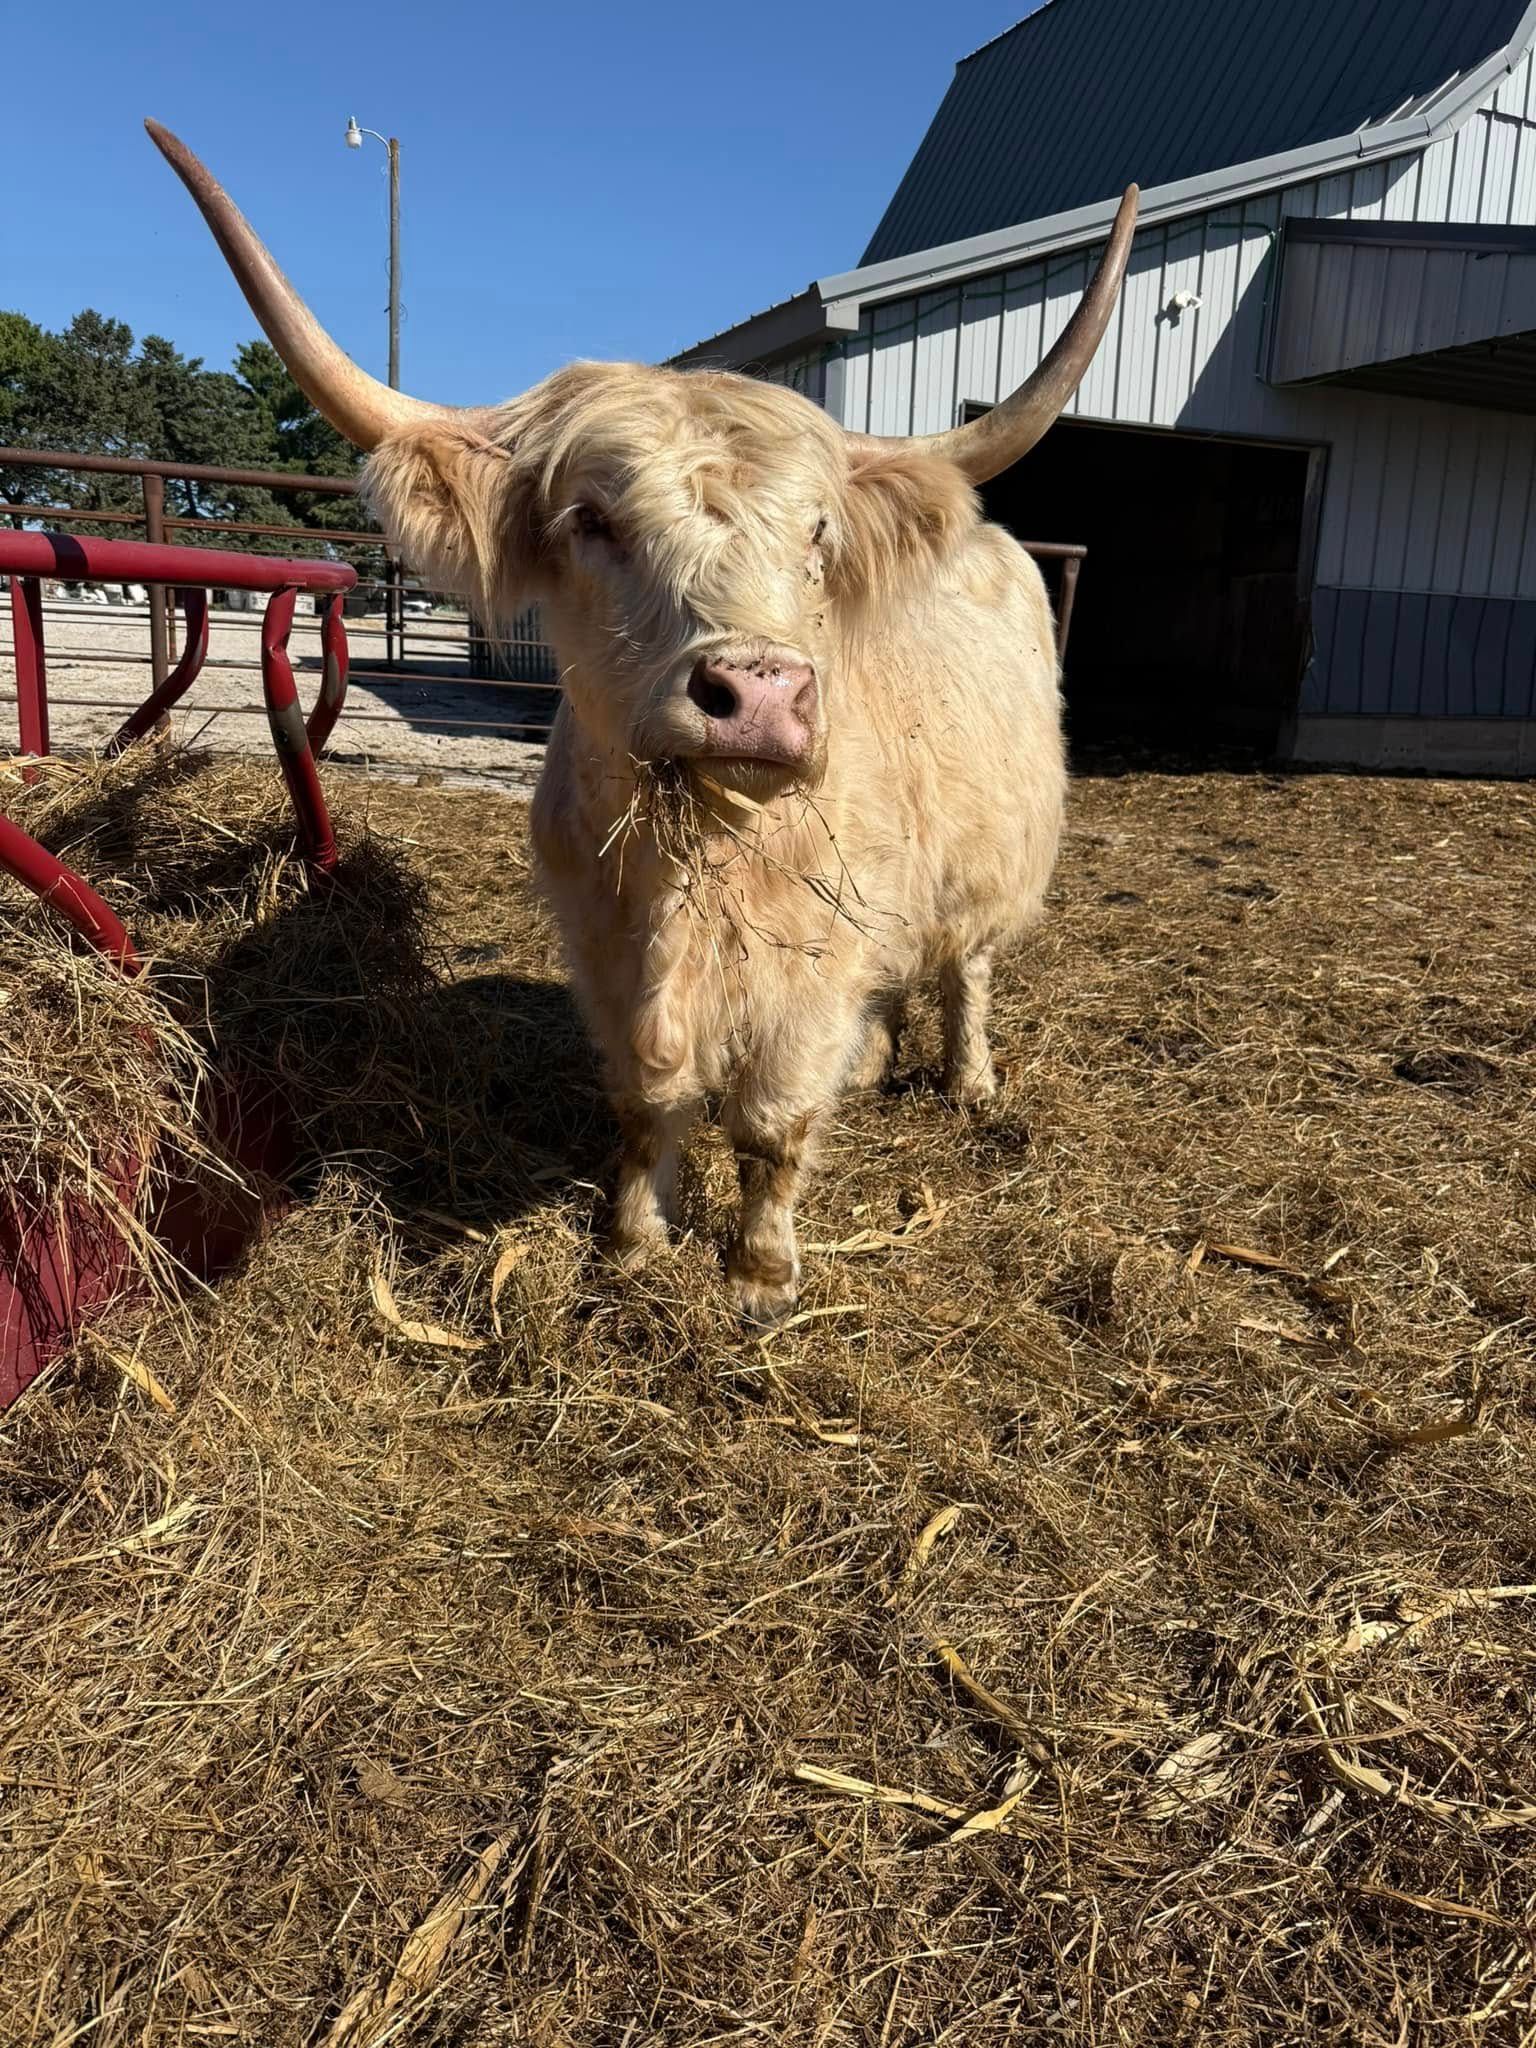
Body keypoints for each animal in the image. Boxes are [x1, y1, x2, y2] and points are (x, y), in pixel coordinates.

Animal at [148, 121, 1137, 1325]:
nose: (757, 690)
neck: (696, 860)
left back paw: (970, 1080)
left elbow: (772, 1124)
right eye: (592, 519)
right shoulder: (605, 949)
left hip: (987, 866)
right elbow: (645, 1102)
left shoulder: (810, 965)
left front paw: (760, 1272)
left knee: (967, 972)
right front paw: (628, 1243)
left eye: (818, 532)